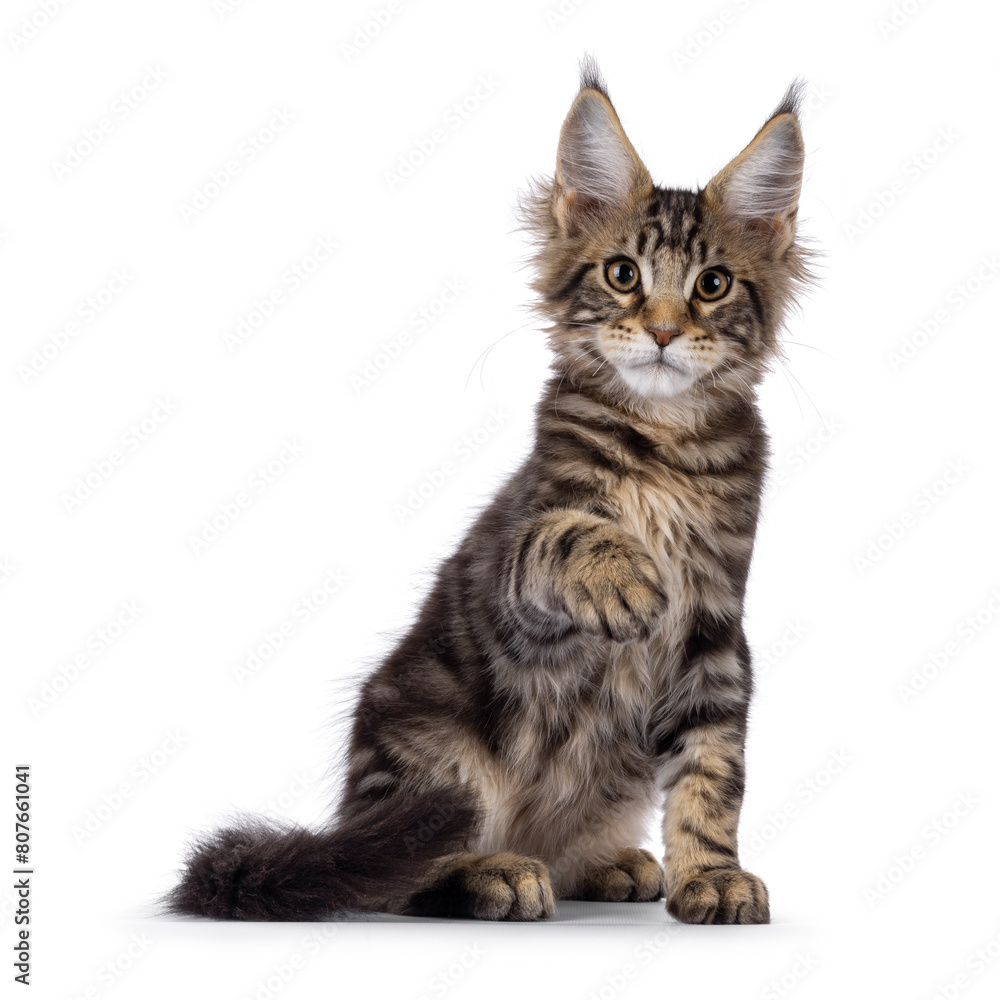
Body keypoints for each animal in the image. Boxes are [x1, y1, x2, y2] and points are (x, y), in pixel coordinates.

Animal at [170, 60, 812, 920]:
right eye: (623, 275)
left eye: (712, 285)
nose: (665, 331)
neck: (664, 448)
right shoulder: (520, 590)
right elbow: (564, 535)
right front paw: (623, 573)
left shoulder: (716, 634)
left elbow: (713, 774)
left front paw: (711, 875)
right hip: (429, 751)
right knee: (403, 877)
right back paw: (494, 872)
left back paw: (604, 863)